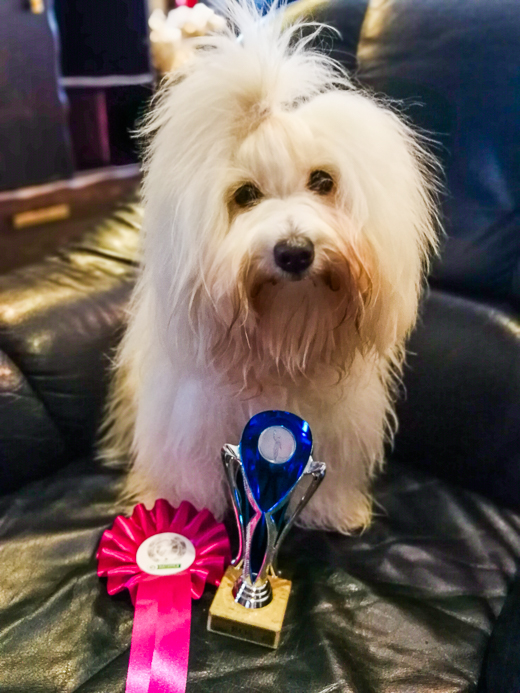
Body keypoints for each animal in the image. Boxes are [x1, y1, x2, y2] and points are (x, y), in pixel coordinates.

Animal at [104, 1, 438, 528]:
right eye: (245, 195)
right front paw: (178, 513)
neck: (285, 332)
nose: (295, 251)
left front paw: (333, 510)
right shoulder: (189, 420)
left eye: (323, 181)